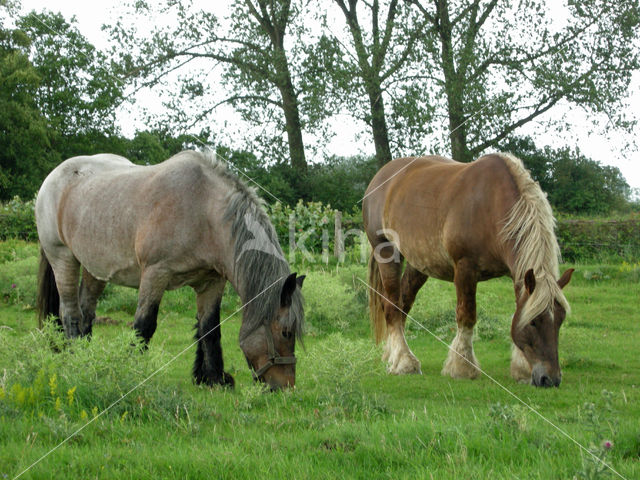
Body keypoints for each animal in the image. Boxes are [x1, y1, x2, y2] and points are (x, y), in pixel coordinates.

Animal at [35, 150, 304, 390]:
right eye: (286, 333)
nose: (285, 386)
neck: (203, 210)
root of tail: (53, 176)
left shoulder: (211, 282)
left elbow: (209, 329)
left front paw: (212, 379)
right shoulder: (155, 274)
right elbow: (144, 326)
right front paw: (131, 371)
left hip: (95, 268)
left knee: (86, 312)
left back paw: (87, 358)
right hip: (63, 257)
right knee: (70, 314)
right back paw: (75, 358)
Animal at [364, 154, 576, 386]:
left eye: (561, 319)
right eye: (534, 322)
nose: (550, 379)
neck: (491, 206)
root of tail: (380, 177)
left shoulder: (516, 274)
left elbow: (518, 309)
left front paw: (522, 370)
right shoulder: (465, 268)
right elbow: (466, 316)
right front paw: (462, 367)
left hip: (417, 265)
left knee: (403, 304)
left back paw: (392, 355)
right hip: (387, 253)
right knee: (392, 306)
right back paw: (404, 362)